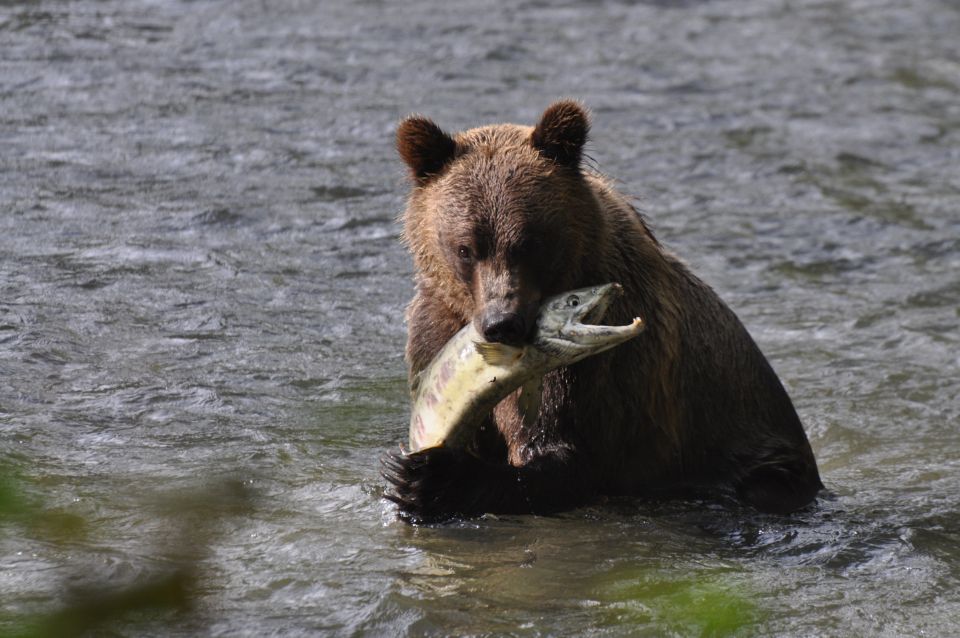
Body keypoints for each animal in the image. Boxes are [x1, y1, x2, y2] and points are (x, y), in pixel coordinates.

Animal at [382, 101, 824, 524]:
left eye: (529, 242)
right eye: (465, 248)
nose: (501, 323)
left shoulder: (604, 371)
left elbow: (567, 455)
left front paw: (427, 477)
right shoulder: (437, 331)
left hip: (757, 452)